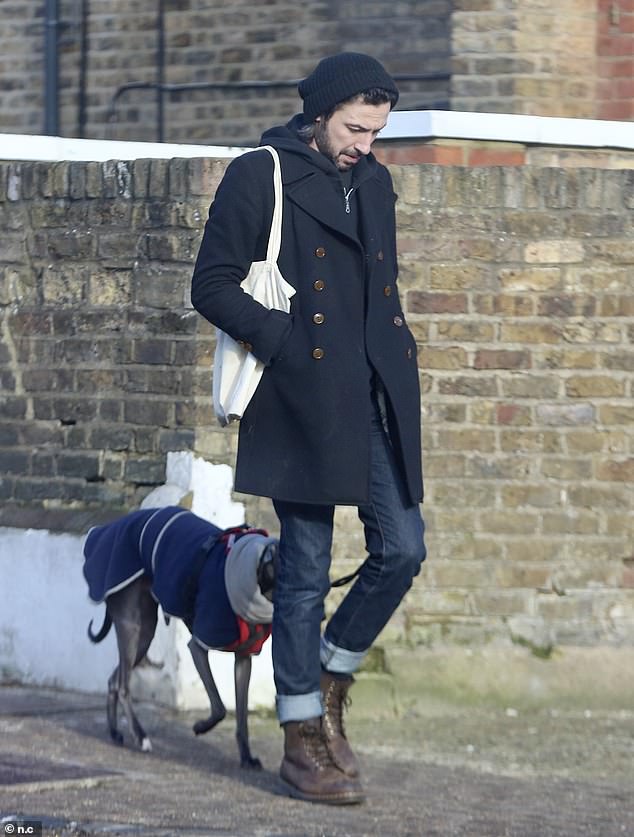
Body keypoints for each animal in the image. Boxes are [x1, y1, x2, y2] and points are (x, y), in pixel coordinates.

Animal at [82, 506, 276, 768]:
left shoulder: (244, 658)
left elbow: (242, 716)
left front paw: (246, 757)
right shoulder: (198, 646)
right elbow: (220, 707)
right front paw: (200, 726)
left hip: (145, 634)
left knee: (115, 681)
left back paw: (115, 732)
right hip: (131, 625)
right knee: (123, 686)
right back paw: (140, 735)